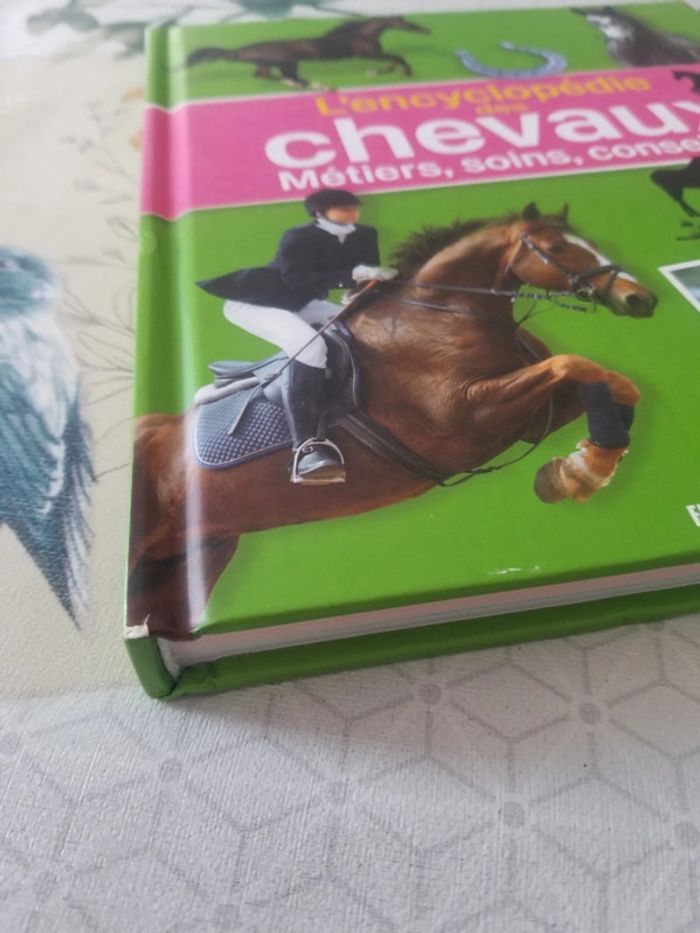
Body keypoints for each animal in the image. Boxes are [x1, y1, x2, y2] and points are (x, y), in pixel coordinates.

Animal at [127, 204, 656, 641]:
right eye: (556, 247)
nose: (641, 299)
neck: (445, 314)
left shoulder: (531, 418)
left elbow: (614, 382)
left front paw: (579, 470)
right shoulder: (470, 415)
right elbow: (572, 364)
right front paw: (582, 471)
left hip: (194, 555)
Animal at [183, 16, 430, 88]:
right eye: (408, 23)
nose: (426, 30)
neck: (359, 35)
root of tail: (240, 51)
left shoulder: (372, 55)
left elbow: (394, 59)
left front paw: (379, 72)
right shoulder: (366, 54)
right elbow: (397, 58)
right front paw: (404, 72)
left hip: (269, 63)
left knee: (265, 75)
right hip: (289, 61)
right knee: (287, 77)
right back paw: (318, 86)